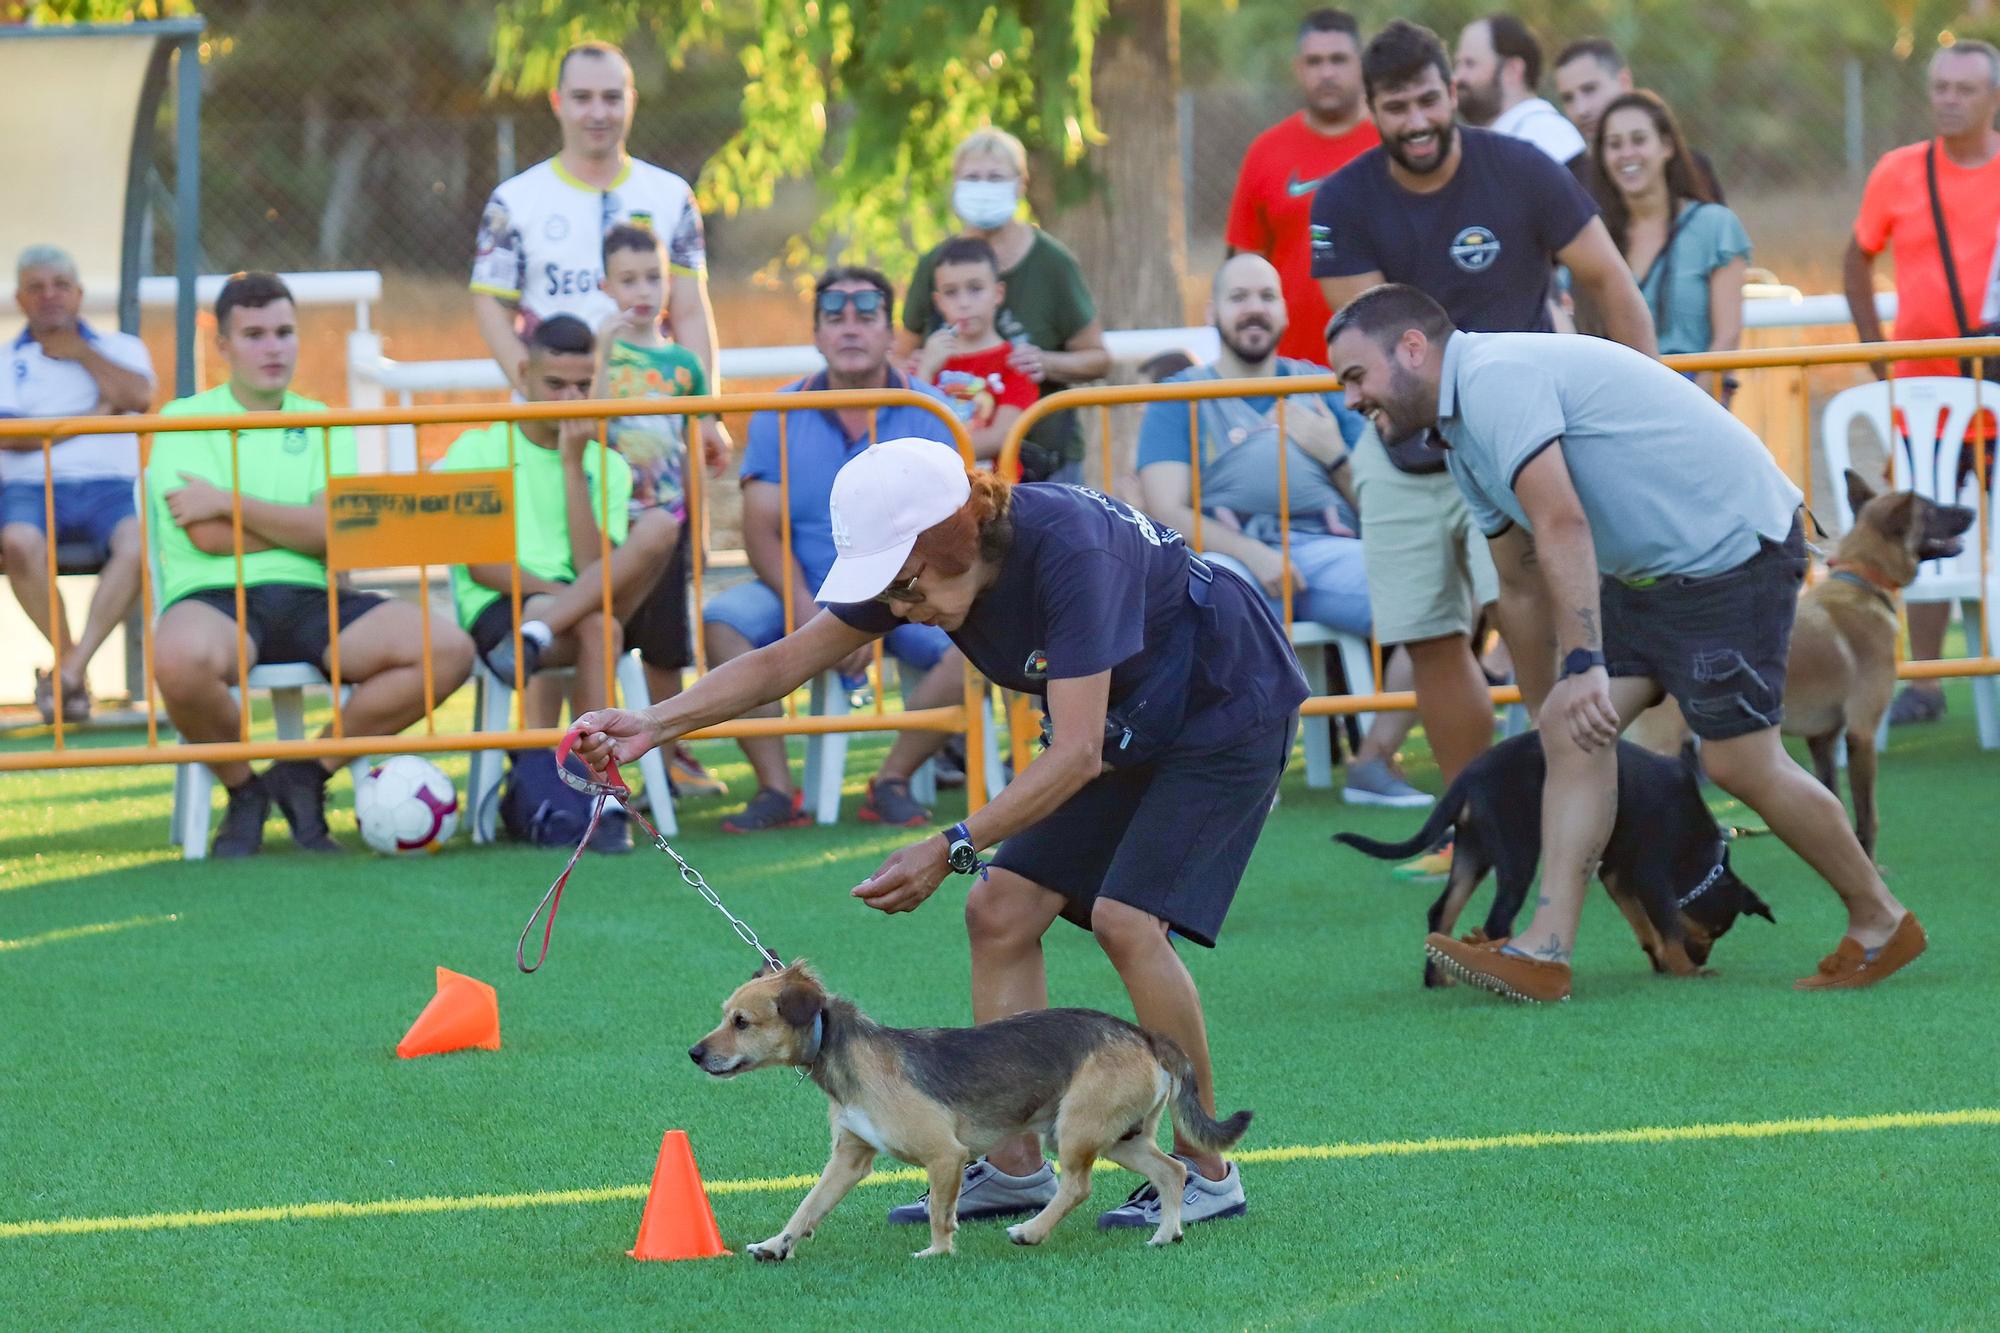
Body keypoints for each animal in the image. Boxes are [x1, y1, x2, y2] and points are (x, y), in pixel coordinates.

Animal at [688, 964, 1248, 1256]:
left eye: (742, 1022)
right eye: (725, 1016)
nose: (693, 1053)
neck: (845, 1055)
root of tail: (1145, 1035)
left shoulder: (944, 1156)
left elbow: (940, 1209)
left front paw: (938, 1252)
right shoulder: (848, 1158)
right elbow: (808, 1206)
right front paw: (778, 1243)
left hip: (1076, 1131)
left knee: (1077, 1186)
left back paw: (1031, 1231)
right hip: (1118, 1135)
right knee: (1172, 1170)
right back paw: (1166, 1232)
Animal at [1336, 732, 1776, 980]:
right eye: (1714, 932)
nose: (1700, 955)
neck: (1696, 846)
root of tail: (1469, 776)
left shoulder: (1617, 873)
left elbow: (1642, 924)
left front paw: (1663, 963)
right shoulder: (1651, 875)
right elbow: (1665, 924)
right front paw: (1687, 970)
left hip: (1473, 851)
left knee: (1440, 913)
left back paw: (1440, 978)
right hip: (1518, 852)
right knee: (1496, 921)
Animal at [1792, 472, 1976, 856]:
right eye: (1931, 509)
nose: (1970, 509)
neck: (1863, 581)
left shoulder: (1822, 739)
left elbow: (1834, 806)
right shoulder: (1861, 734)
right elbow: (1867, 821)